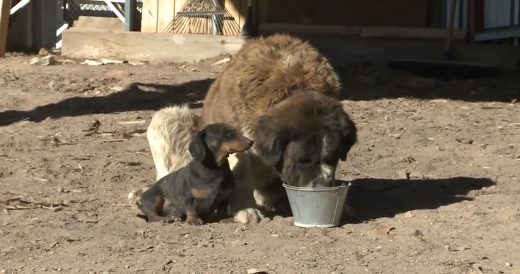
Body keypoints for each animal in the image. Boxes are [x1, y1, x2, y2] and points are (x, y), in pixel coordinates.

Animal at [130, 33, 358, 223]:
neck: (293, 87)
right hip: (168, 118)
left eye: (333, 158)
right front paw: (244, 210)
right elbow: (241, 175)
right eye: (303, 161)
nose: (321, 187)